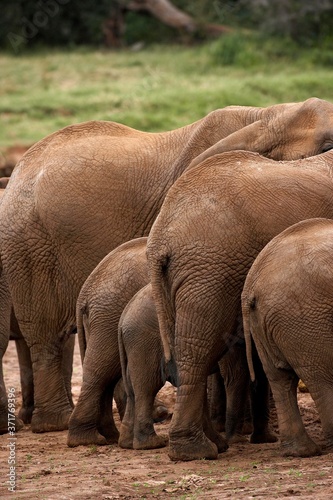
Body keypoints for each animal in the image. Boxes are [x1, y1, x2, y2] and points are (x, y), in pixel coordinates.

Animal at [240, 218, 332, 458]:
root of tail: (251, 284)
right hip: (304, 317)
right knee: (322, 377)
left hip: (272, 321)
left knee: (279, 379)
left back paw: (300, 451)